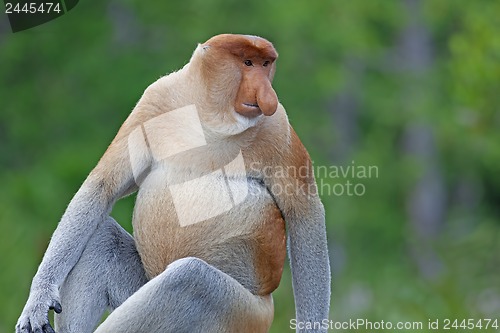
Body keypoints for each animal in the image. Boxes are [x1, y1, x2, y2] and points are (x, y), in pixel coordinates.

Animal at [15, 34, 330, 332]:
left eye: (266, 64)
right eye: (248, 63)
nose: (266, 93)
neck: (211, 115)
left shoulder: (278, 127)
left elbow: (304, 213)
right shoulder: (154, 99)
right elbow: (102, 187)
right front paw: (38, 301)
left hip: (243, 314)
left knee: (189, 279)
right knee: (102, 238)